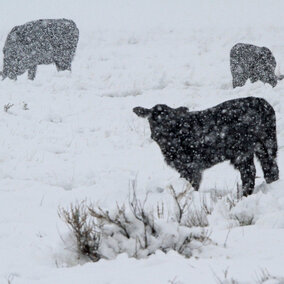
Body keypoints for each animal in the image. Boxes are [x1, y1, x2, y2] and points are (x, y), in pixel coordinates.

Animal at [134, 97, 280, 195]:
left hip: (254, 146)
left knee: (257, 170)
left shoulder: (191, 165)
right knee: (262, 169)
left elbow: (193, 184)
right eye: (151, 119)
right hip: (256, 147)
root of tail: (264, 103)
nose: (157, 134)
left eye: (169, 120)